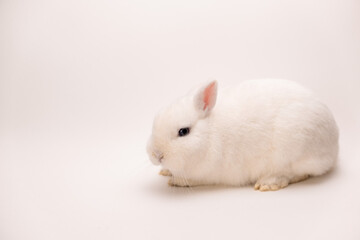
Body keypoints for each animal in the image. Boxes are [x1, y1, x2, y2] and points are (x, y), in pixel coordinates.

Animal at [146, 79, 338, 191]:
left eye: (183, 131)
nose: (156, 154)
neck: (209, 135)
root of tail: (334, 145)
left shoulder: (206, 173)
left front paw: (176, 181)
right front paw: (165, 171)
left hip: (293, 153)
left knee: (296, 173)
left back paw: (268, 183)